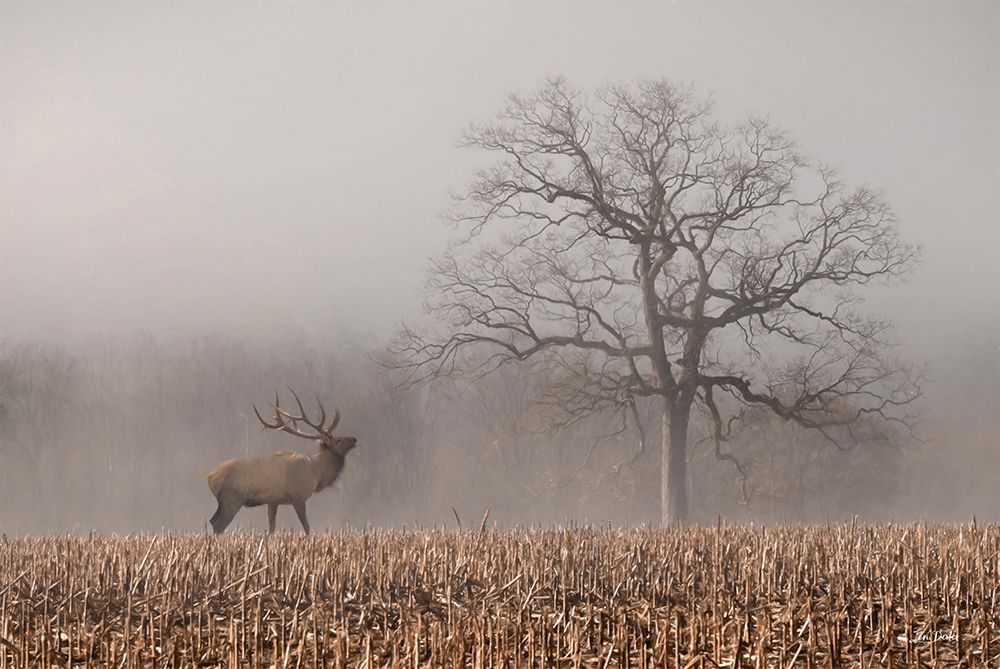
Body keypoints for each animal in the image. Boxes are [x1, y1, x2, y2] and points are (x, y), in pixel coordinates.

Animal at [205, 390, 357, 534]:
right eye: (338, 440)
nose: (354, 439)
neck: (317, 472)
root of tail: (210, 477)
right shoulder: (298, 496)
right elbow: (306, 526)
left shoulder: (272, 501)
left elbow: (272, 527)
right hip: (232, 498)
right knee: (219, 525)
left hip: (222, 502)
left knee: (212, 521)